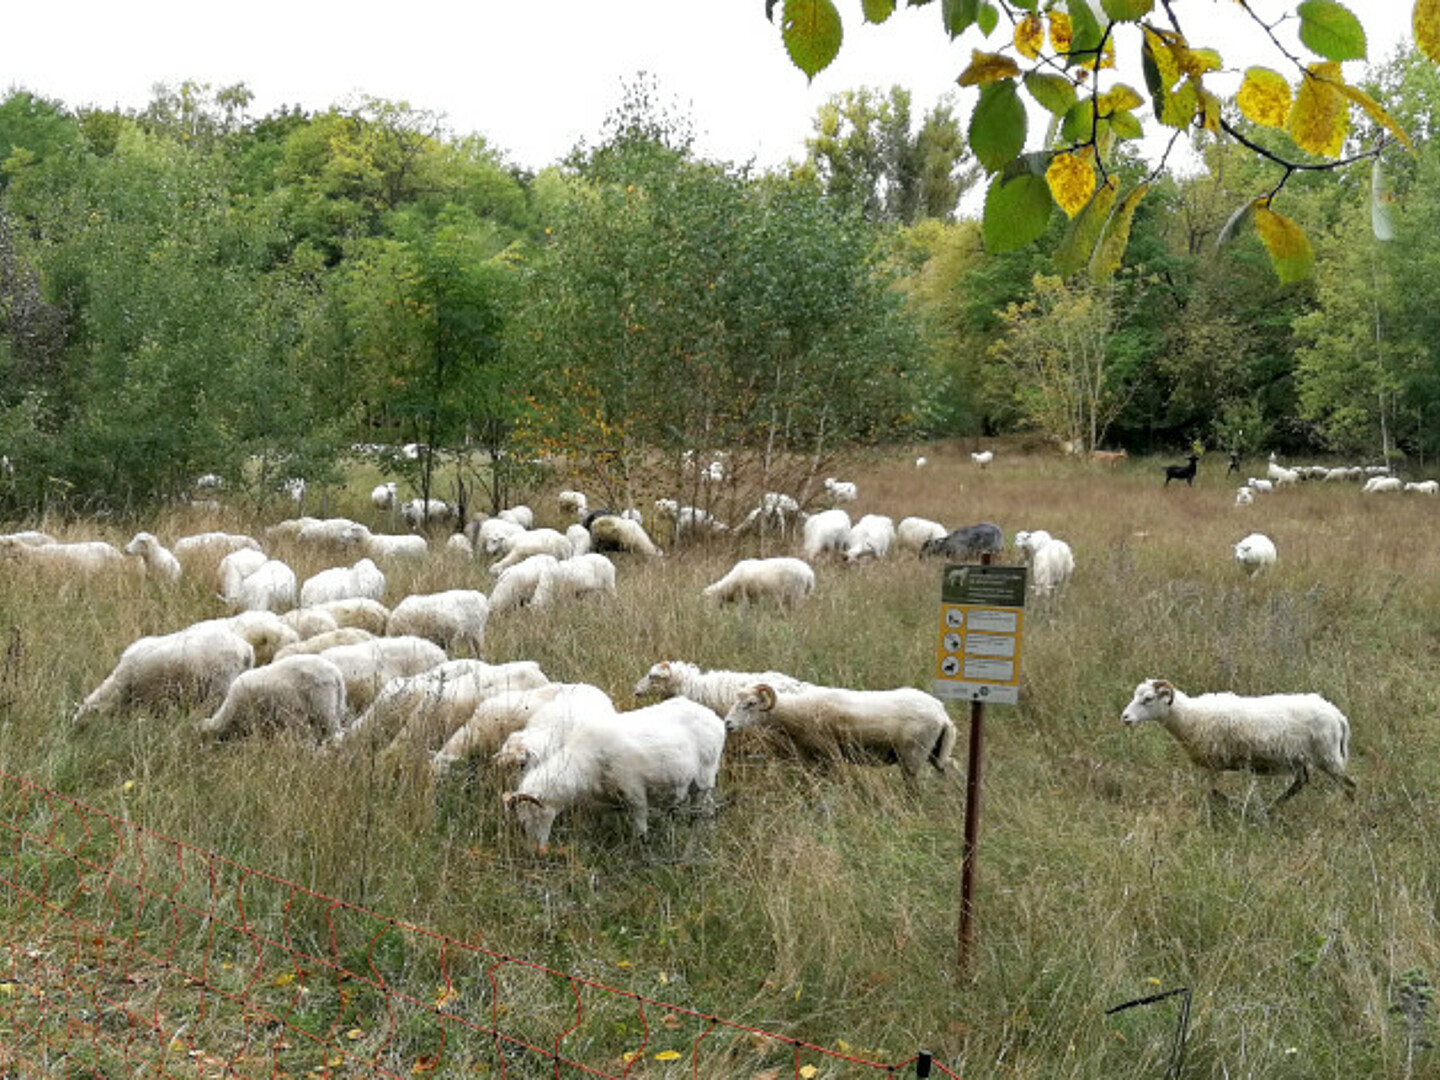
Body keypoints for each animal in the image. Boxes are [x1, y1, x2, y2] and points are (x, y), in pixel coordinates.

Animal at [506, 694, 731, 852]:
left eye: (535, 816)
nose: (537, 850)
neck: (583, 762)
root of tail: (713, 717)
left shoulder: (635, 795)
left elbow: (640, 831)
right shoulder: (600, 802)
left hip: (704, 778)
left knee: (702, 812)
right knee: (709, 808)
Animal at [725, 685, 961, 789]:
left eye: (751, 704)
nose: (727, 724)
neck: (798, 712)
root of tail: (942, 714)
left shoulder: (831, 752)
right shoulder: (810, 757)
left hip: (912, 756)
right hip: (935, 751)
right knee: (950, 767)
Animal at [1117, 679, 1353, 806]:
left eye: (1148, 699)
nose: (1125, 717)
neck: (1188, 716)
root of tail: (1337, 714)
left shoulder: (1213, 764)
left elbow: (1211, 792)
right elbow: (1212, 792)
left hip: (1327, 756)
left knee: (1349, 785)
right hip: (1299, 758)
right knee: (1300, 782)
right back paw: (1272, 807)